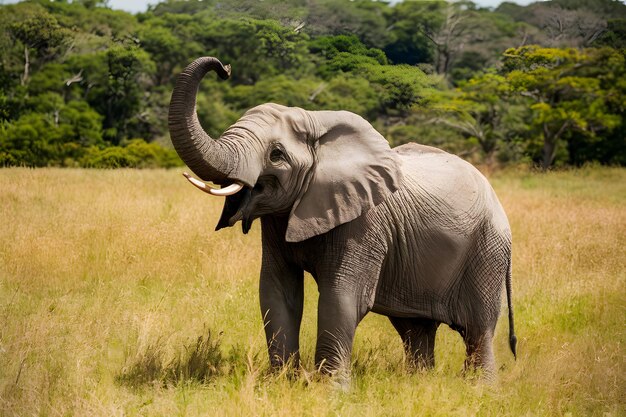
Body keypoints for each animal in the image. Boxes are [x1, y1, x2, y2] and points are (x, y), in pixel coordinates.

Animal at [168, 57, 516, 382]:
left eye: (276, 155)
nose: (225, 68)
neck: (319, 129)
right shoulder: (279, 221)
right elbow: (277, 292)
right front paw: (281, 383)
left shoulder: (364, 224)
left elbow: (342, 296)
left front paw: (329, 390)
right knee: (415, 328)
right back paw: (418, 382)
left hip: (488, 250)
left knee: (478, 328)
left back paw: (479, 388)